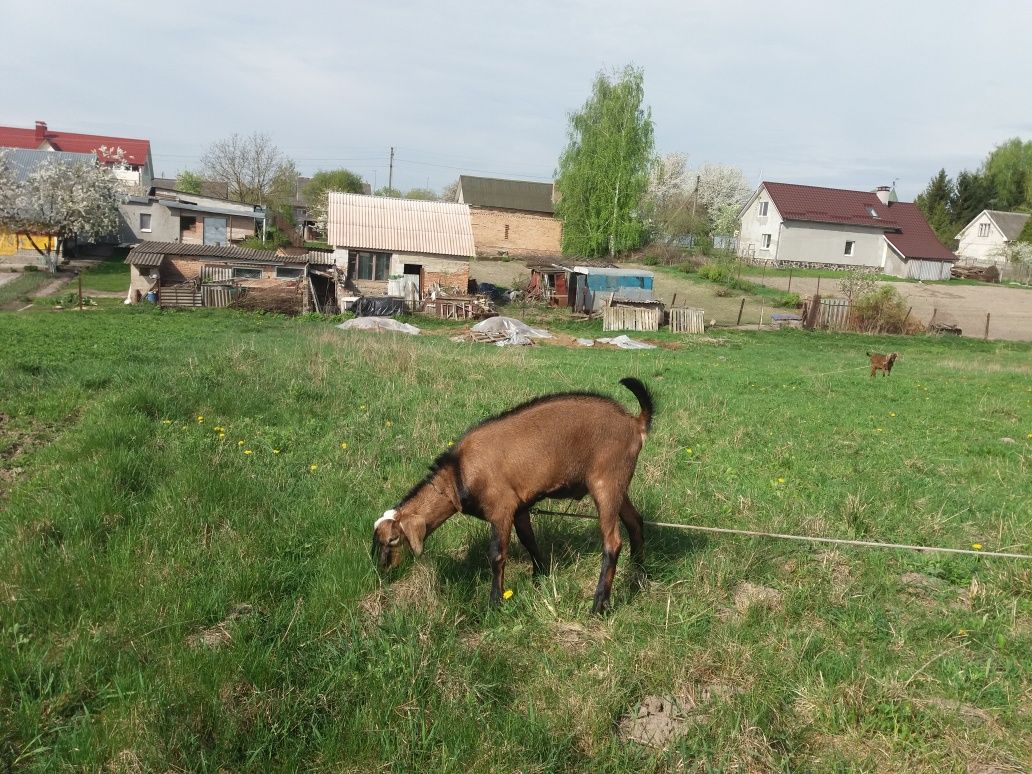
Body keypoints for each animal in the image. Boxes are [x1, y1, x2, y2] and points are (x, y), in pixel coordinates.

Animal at [373, 379, 652, 615]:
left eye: (393, 539)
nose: (381, 569)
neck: (457, 474)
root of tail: (634, 423)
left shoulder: (502, 508)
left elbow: (497, 555)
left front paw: (494, 602)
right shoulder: (520, 507)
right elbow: (529, 540)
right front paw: (540, 576)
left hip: (606, 483)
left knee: (613, 542)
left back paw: (599, 604)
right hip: (617, 485)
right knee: (635, 522)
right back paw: (638, 574)